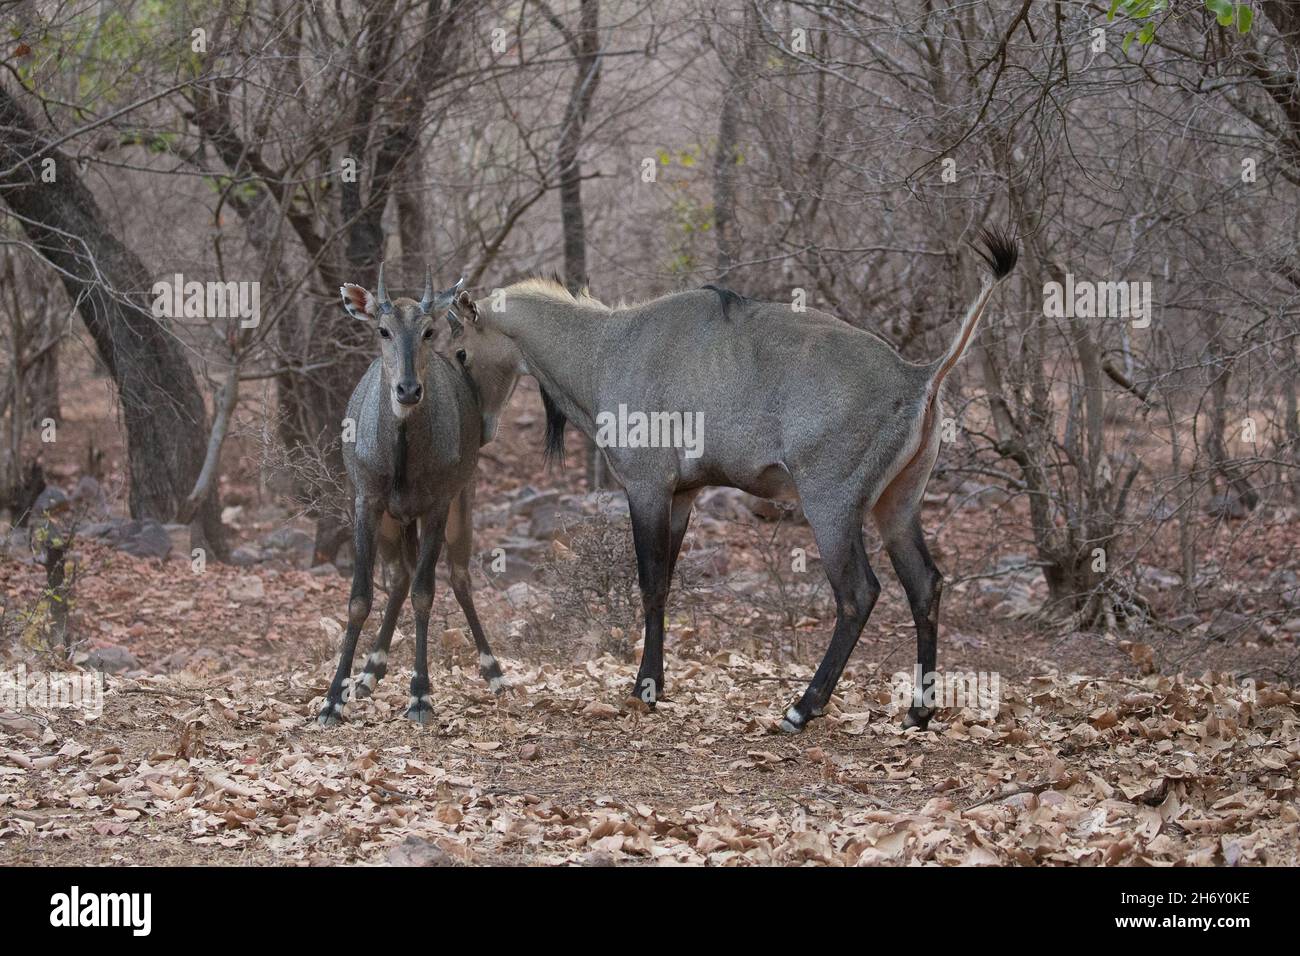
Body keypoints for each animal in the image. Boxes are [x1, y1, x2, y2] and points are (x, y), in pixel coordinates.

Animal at [317, 265, 519, 727]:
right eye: (382, 330)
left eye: (428, 331)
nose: (408, 390)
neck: (403, 453)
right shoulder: (367, 503)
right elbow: (359, 598)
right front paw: (333, 698)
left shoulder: (437, 505)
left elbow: (426, 594)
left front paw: (421, 695)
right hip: (394, 522)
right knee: (399, 576)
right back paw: (369, 672)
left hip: (462, 504)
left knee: (457, 577)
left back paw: (494, 672)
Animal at [447, 228, 1017, 733]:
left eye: (459, 350)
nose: (478, 430)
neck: (606, 348)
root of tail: (919, 376)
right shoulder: (683, 494)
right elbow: (665, 582)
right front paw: (655, 684)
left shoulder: (646, 487)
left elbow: (648, 582)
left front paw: (644, 690)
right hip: (897, 506)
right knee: (925, 584)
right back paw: (918, 713)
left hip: (830, 505)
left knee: (859, 592)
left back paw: (802, 710)